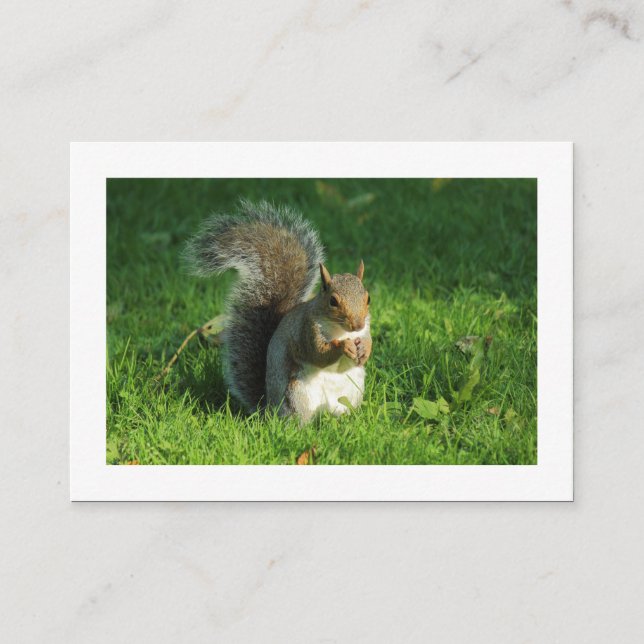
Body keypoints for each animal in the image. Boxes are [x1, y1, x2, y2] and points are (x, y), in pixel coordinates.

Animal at [183, 200, 372, 423]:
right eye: (333, 301)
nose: (357, 324)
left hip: (351, 391)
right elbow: (319, 354)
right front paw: (344, 347)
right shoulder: (306, 331)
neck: (341, 330)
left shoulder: (366, 328)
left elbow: (367, 341)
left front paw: (364, 350)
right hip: (297, 394)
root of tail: (270, 410)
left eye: (368, 298)